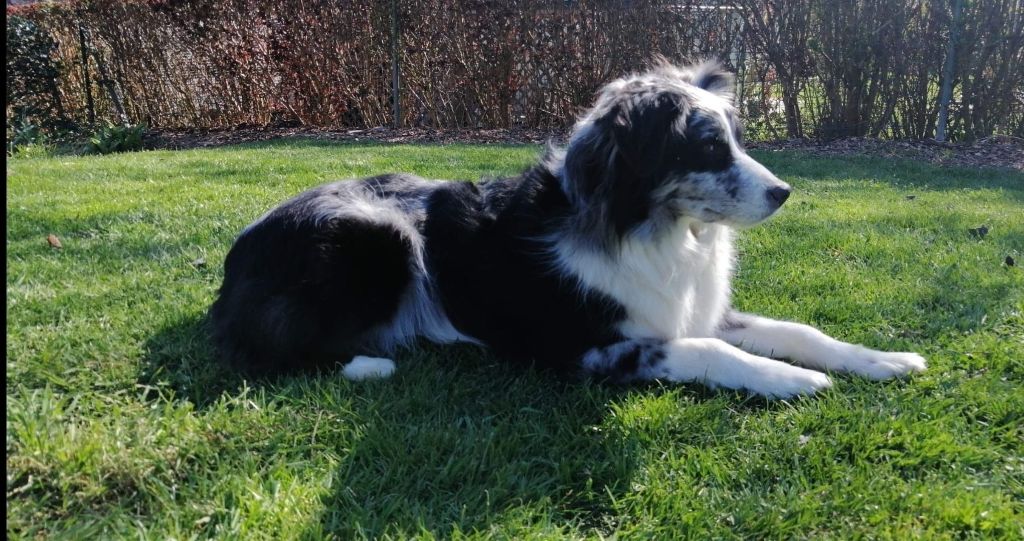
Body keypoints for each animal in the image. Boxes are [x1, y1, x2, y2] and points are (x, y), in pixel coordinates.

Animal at [210, 60, 926, 398]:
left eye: (736, 140)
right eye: (706, 148)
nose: (783, 193)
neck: (650, 231)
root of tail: (235, 259)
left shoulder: (687, 309)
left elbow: (799, 330)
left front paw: (880, 360)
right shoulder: (587, 346)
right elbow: (709, 352)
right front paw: (792, 381)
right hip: (376, 237)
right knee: (271, 348)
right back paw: (374, 362)